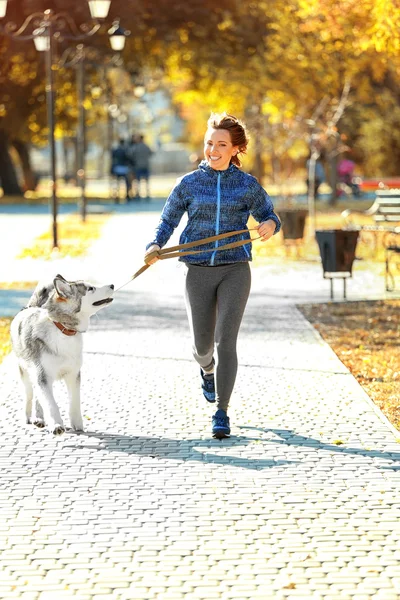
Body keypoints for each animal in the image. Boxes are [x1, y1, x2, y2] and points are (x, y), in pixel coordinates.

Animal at [10, 274, 114, 434]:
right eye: (91, 288)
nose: (112, 285)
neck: (62, 329)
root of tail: (31, 307)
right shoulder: (42, 375)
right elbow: (50, 403)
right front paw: (57, 425)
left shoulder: (73, 374)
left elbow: (74, 402)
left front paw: (77, 424)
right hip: (26, 372)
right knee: (30, 394)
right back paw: (30, 417)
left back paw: (39, 419)